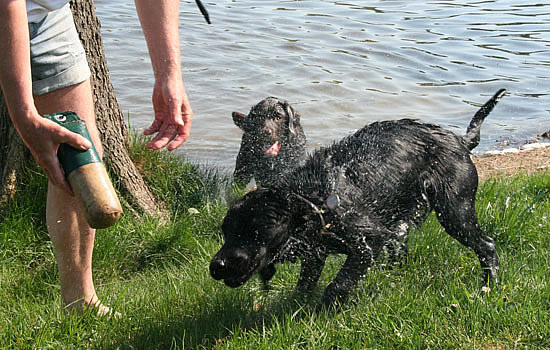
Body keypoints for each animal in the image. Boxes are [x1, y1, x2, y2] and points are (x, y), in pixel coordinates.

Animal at [212, 89, 508, 308]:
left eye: (254, 231)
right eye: (227, 232)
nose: (217, 266)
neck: (314, 199)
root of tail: (460, 141)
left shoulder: (368, 243)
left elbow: (338, 285)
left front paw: (323, 311)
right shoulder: (315, 252)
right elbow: (305, 284)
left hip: (455, 210)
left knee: (487, 245)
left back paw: (488, 285)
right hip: (404, 221)